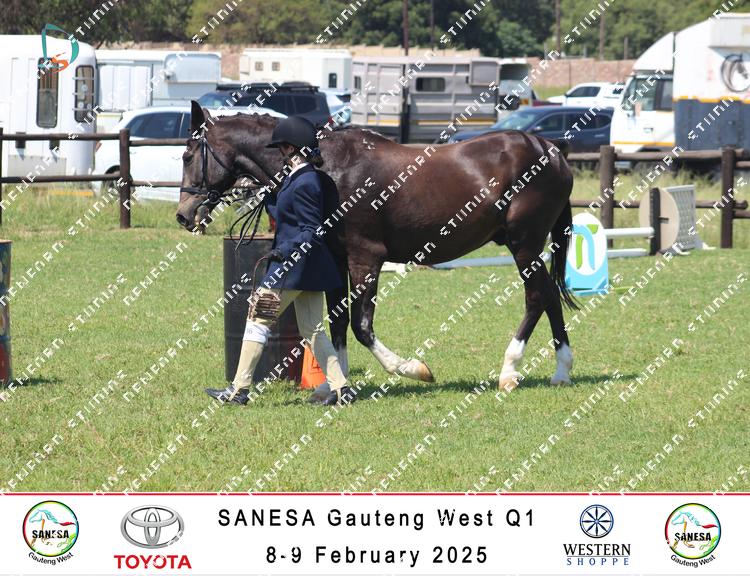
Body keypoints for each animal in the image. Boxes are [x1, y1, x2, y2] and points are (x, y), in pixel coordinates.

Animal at [176, 101, 577, 393]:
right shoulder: (337, 260)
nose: (183, 214)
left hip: (523, 244)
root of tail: (550, 149)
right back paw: (561, 371)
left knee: (536, 297)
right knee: (550, 295)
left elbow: (361, 325)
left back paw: (509, 371)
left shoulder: (365, 258)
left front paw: (413, 369)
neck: (327, 169)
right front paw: (338, 385)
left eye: (187, 156)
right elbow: (338, 322)